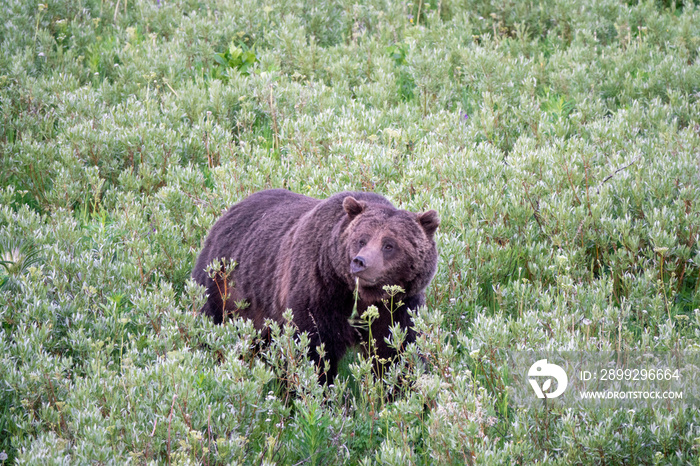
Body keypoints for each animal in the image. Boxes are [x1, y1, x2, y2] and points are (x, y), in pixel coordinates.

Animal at [191, 188, 438, 382]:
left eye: (389, 245)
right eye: (361, 239)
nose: (360, 262)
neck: (362, 296)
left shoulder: (399, 305)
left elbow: (397, 350)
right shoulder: (319, 290)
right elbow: (313, 349)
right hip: (224, 286)